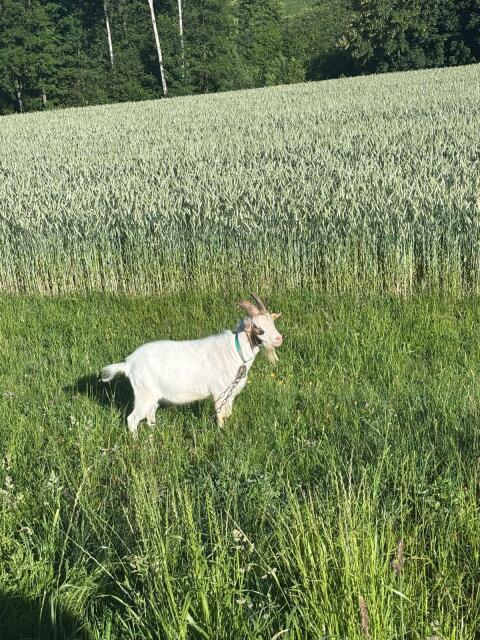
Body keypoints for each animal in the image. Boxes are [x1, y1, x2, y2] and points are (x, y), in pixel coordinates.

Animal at [101, 293, 282, 437]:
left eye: (272, 323)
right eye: (258, 327)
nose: (279, 339)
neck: (234, 351)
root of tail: (129, 363)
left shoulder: (230, 394)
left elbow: (228, 414)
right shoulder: (219, 393)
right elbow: (221, 416)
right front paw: (222, 433)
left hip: (152, 396)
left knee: (150, 415)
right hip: (144, 394)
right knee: (132, 419)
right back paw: (136, 441)